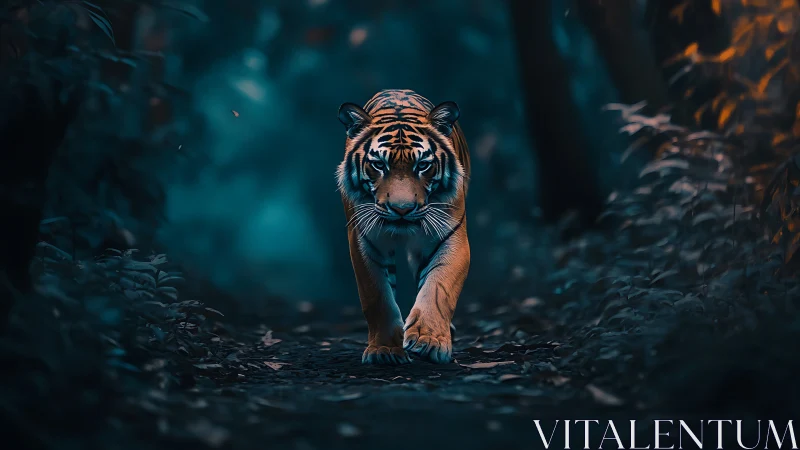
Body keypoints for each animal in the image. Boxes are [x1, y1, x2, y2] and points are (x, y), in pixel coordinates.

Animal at [336, 89, 471, 365]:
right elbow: (377, 297)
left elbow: (438, 287)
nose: (402, 209)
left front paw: (428, 340)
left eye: (423, 165)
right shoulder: (365, 241)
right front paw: (385, 349)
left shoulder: (451, 236)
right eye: (379, 165)